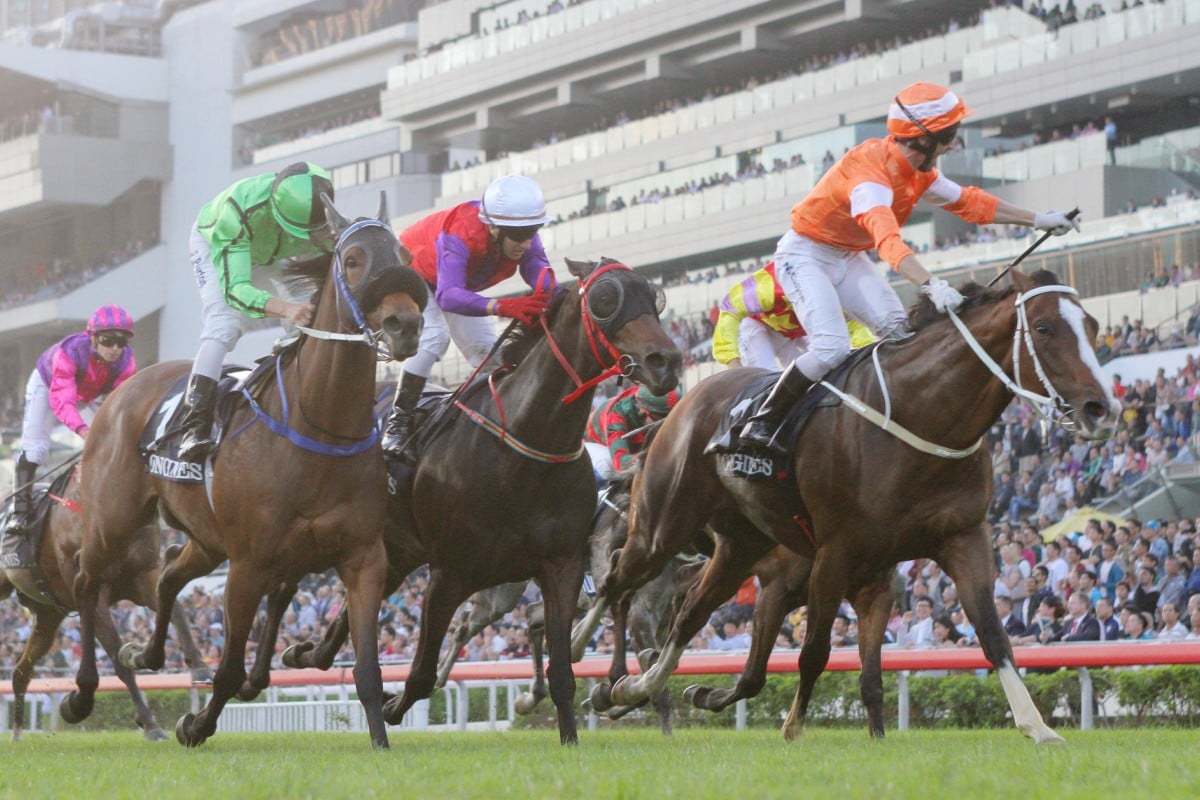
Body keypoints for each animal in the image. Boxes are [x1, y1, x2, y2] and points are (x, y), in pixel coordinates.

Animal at [0, 465, 207, 743]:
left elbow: (176, 610)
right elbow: (120, 662)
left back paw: (17, 733)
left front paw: (200, 669)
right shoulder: (94, 595)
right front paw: (149, 724)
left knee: (21, 671)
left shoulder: (142, 575)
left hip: (48, 616)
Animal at [63, 195, 427, 753]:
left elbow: (367, 667)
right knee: (86, 583)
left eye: (405, 254)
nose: (405, 324)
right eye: (353, 260)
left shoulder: (364, 556)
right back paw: (81, 695)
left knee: (168, 571)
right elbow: (230, 669)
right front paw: (196, 724)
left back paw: (146, 654)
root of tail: (125, 387)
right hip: (112, 519)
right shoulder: (249, 564)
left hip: (207, 540)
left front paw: (381, 743)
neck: (321, 427)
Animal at [278, 256, 676, 743]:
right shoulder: (450, 573)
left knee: (347, 616)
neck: (524, 446)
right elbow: (422, 674)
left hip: (399, 553)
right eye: (605, 299)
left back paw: (304, 653)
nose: (666, 360)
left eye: (654, 296)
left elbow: (563, 672)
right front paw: (391, 707)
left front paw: (572, 732)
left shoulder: (562, 567)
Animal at [588, 271, 1113, 743]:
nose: (1100, 409)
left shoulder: (947, 544)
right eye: (1044, 328)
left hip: (738, 545)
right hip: (662, 528)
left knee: (687, 615)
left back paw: (632, 687)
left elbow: (987, 634)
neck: (919, 414)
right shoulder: (830, 555)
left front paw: (1036, 725)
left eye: (1092, 325)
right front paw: (792, 725)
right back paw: (602, 677)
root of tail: (684, 405)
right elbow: (811, 653)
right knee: (617, 582)